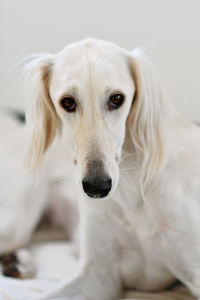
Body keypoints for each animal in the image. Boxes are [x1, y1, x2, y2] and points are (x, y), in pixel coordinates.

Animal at [0, 38, 200, 298]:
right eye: (67, 102)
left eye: (117, 98)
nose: (97, 188)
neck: (132, 187)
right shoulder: (98, 275)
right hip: (16, 222)